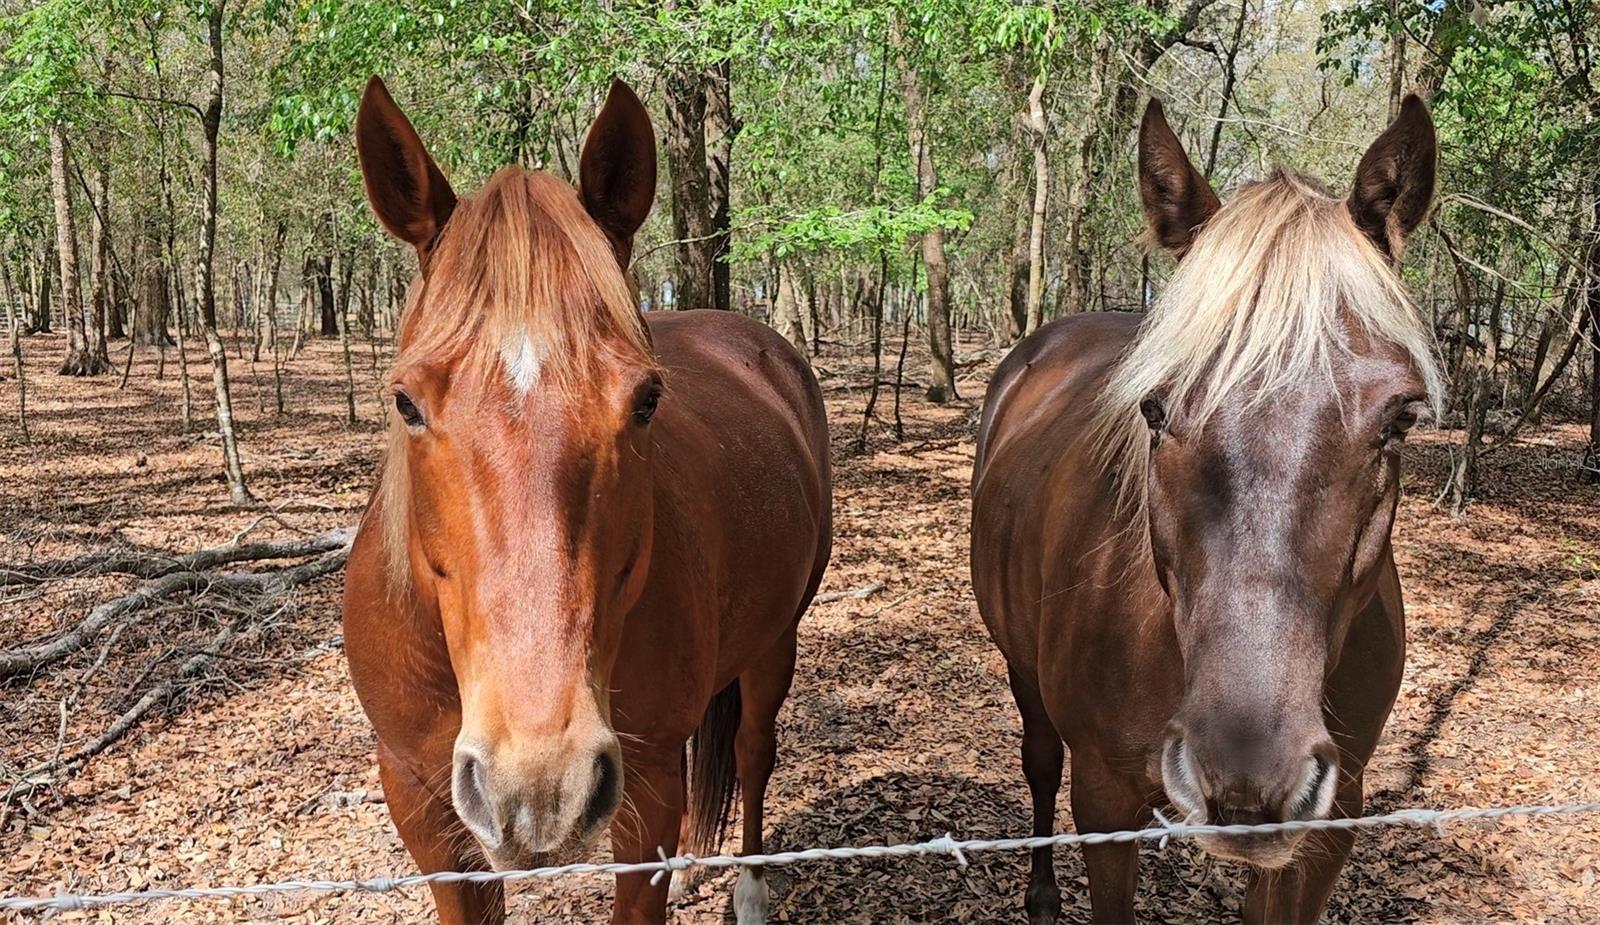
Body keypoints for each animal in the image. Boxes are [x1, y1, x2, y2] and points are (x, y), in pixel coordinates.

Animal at [341, 77, 832, 925]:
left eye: (645, 400)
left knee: (752, 752)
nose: (542, 783)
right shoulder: (422, 804)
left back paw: (748, 887)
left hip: (775, 642)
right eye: (406, 402)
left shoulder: (645, 795)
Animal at [971, 95, 1440, 924]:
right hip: (1021, 665)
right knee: (1038, 760)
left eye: (1400, 419)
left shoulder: (1331, 819)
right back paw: (1040, 890)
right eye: (1155, 409)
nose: (1248, 775)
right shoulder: (1103, 800)